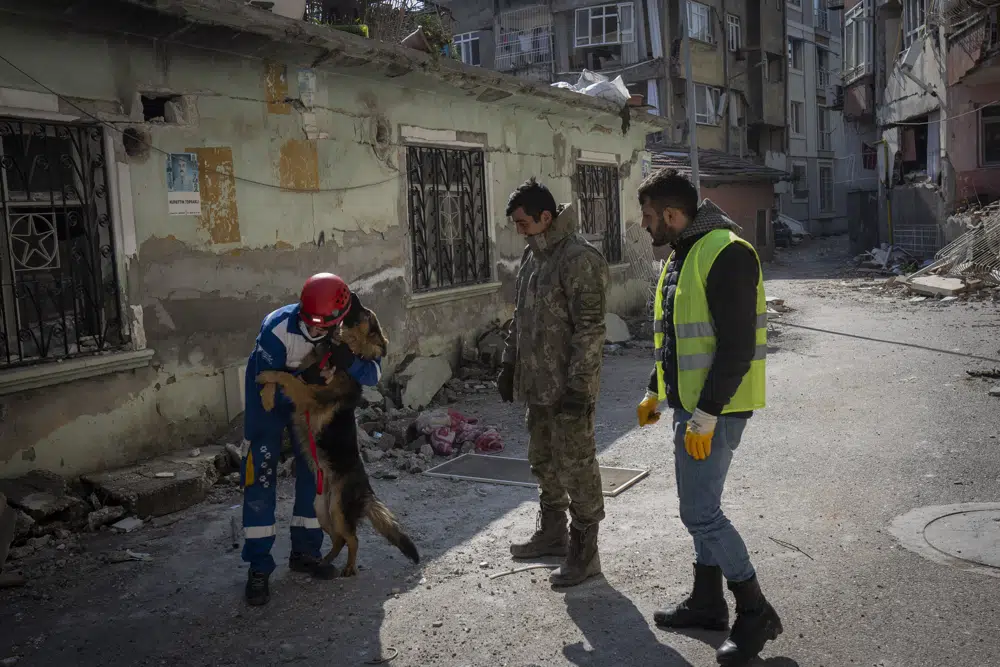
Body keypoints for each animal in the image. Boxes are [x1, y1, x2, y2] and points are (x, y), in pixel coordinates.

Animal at [258, 294, 418, 576]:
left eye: (365, 314)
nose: (352, 295)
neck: (343, 350)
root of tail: (368, 492)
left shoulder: (310, 394)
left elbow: (286, 378)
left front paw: (267, 376)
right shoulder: (303, 373)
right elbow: (283, 376)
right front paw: (266, 394)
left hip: (339, 511)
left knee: (352, 539)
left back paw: (349, 567)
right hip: (321, 510)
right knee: (338, 539)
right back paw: (324, 562)